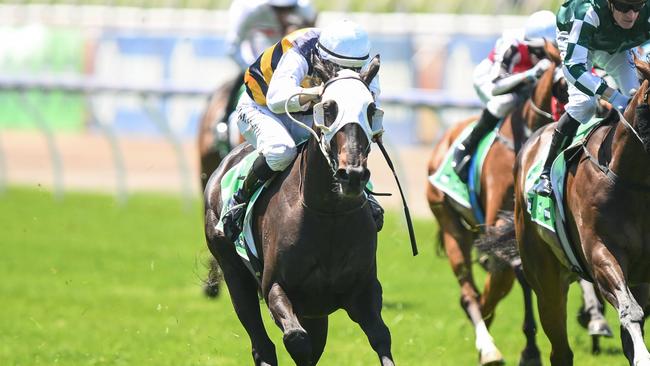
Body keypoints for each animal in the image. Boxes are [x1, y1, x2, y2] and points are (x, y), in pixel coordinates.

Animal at [205, 58, 392, 364]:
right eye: (328, 108)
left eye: (371, 109)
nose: (352, 175)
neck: (328, 216)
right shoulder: (275, 287)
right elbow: (296, 339)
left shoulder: (362, 291)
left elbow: (381, 336)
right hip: (234, 273)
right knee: (262, 345)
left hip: (314, 311)